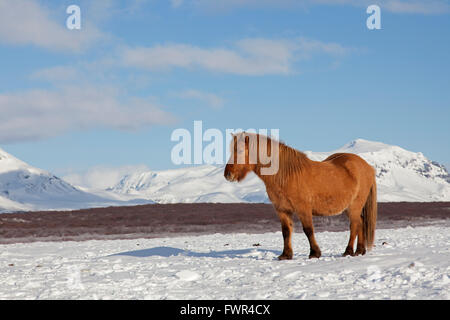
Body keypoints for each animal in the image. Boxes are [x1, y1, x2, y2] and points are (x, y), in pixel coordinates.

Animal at [224, 132, 376, 260]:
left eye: (240, 150)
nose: (227, 174)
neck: (285, 175)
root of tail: (368, 167)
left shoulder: (303, 208)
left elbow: (308, 230)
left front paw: (314, 253)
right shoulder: (282, 210)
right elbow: (286, 231)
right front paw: (286, 255)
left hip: (354, 206)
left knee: (354, 225)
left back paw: (348, 251)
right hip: (348, 208)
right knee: (360, 223)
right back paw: (359, 251)